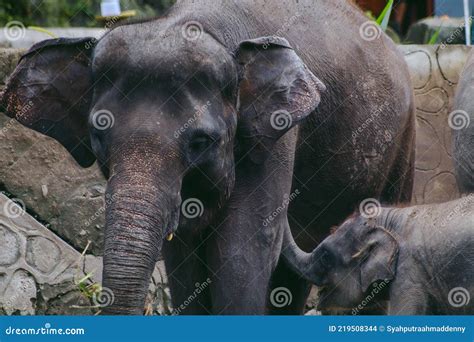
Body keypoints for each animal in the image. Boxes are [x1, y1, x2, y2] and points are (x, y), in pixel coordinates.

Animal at [0, 0, 412, 316]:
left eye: (201, 141)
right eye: (99, 134)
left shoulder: (276, 136)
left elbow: (242, 250)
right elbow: (183, 255)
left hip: (403, 143)